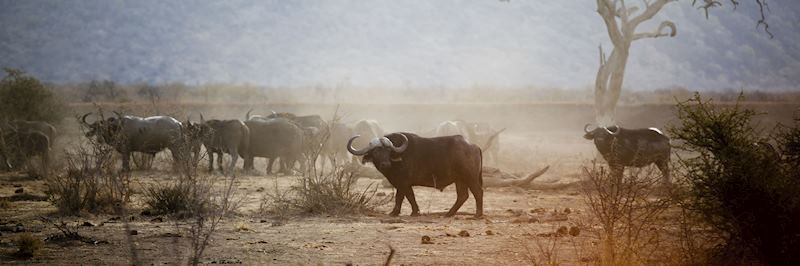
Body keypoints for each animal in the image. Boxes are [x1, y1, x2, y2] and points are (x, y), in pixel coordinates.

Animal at [348, 132, 484, 217]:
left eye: (388, 151)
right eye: (376, 152)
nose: (385, 164)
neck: (397, 159)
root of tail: (474, 146)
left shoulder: (403, 183)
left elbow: (404, 197)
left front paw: (399, 212)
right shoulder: (402, 184)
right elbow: (407, 196)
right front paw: (410, 212)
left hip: (470, 177)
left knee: (478, 192)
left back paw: (477, 214)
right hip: (460, 180)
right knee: (462, 196)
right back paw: (449, 214)